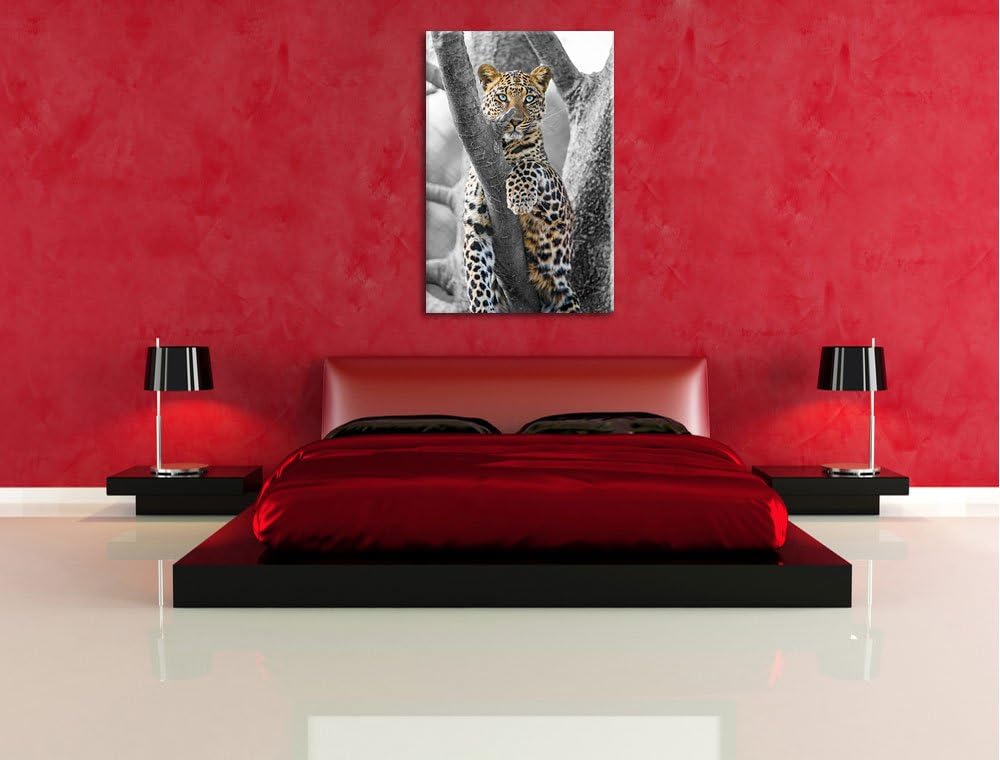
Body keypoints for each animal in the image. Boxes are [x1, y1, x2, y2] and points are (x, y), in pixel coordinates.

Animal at [462, 63, 580, 313]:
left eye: (529, 98)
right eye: (502, 97)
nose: (515, 120)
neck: (503, 148)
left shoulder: (557, 210)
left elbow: (530, 164)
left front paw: (519, 197)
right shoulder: (475, 229)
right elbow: (477, 279)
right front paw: (481, 309)